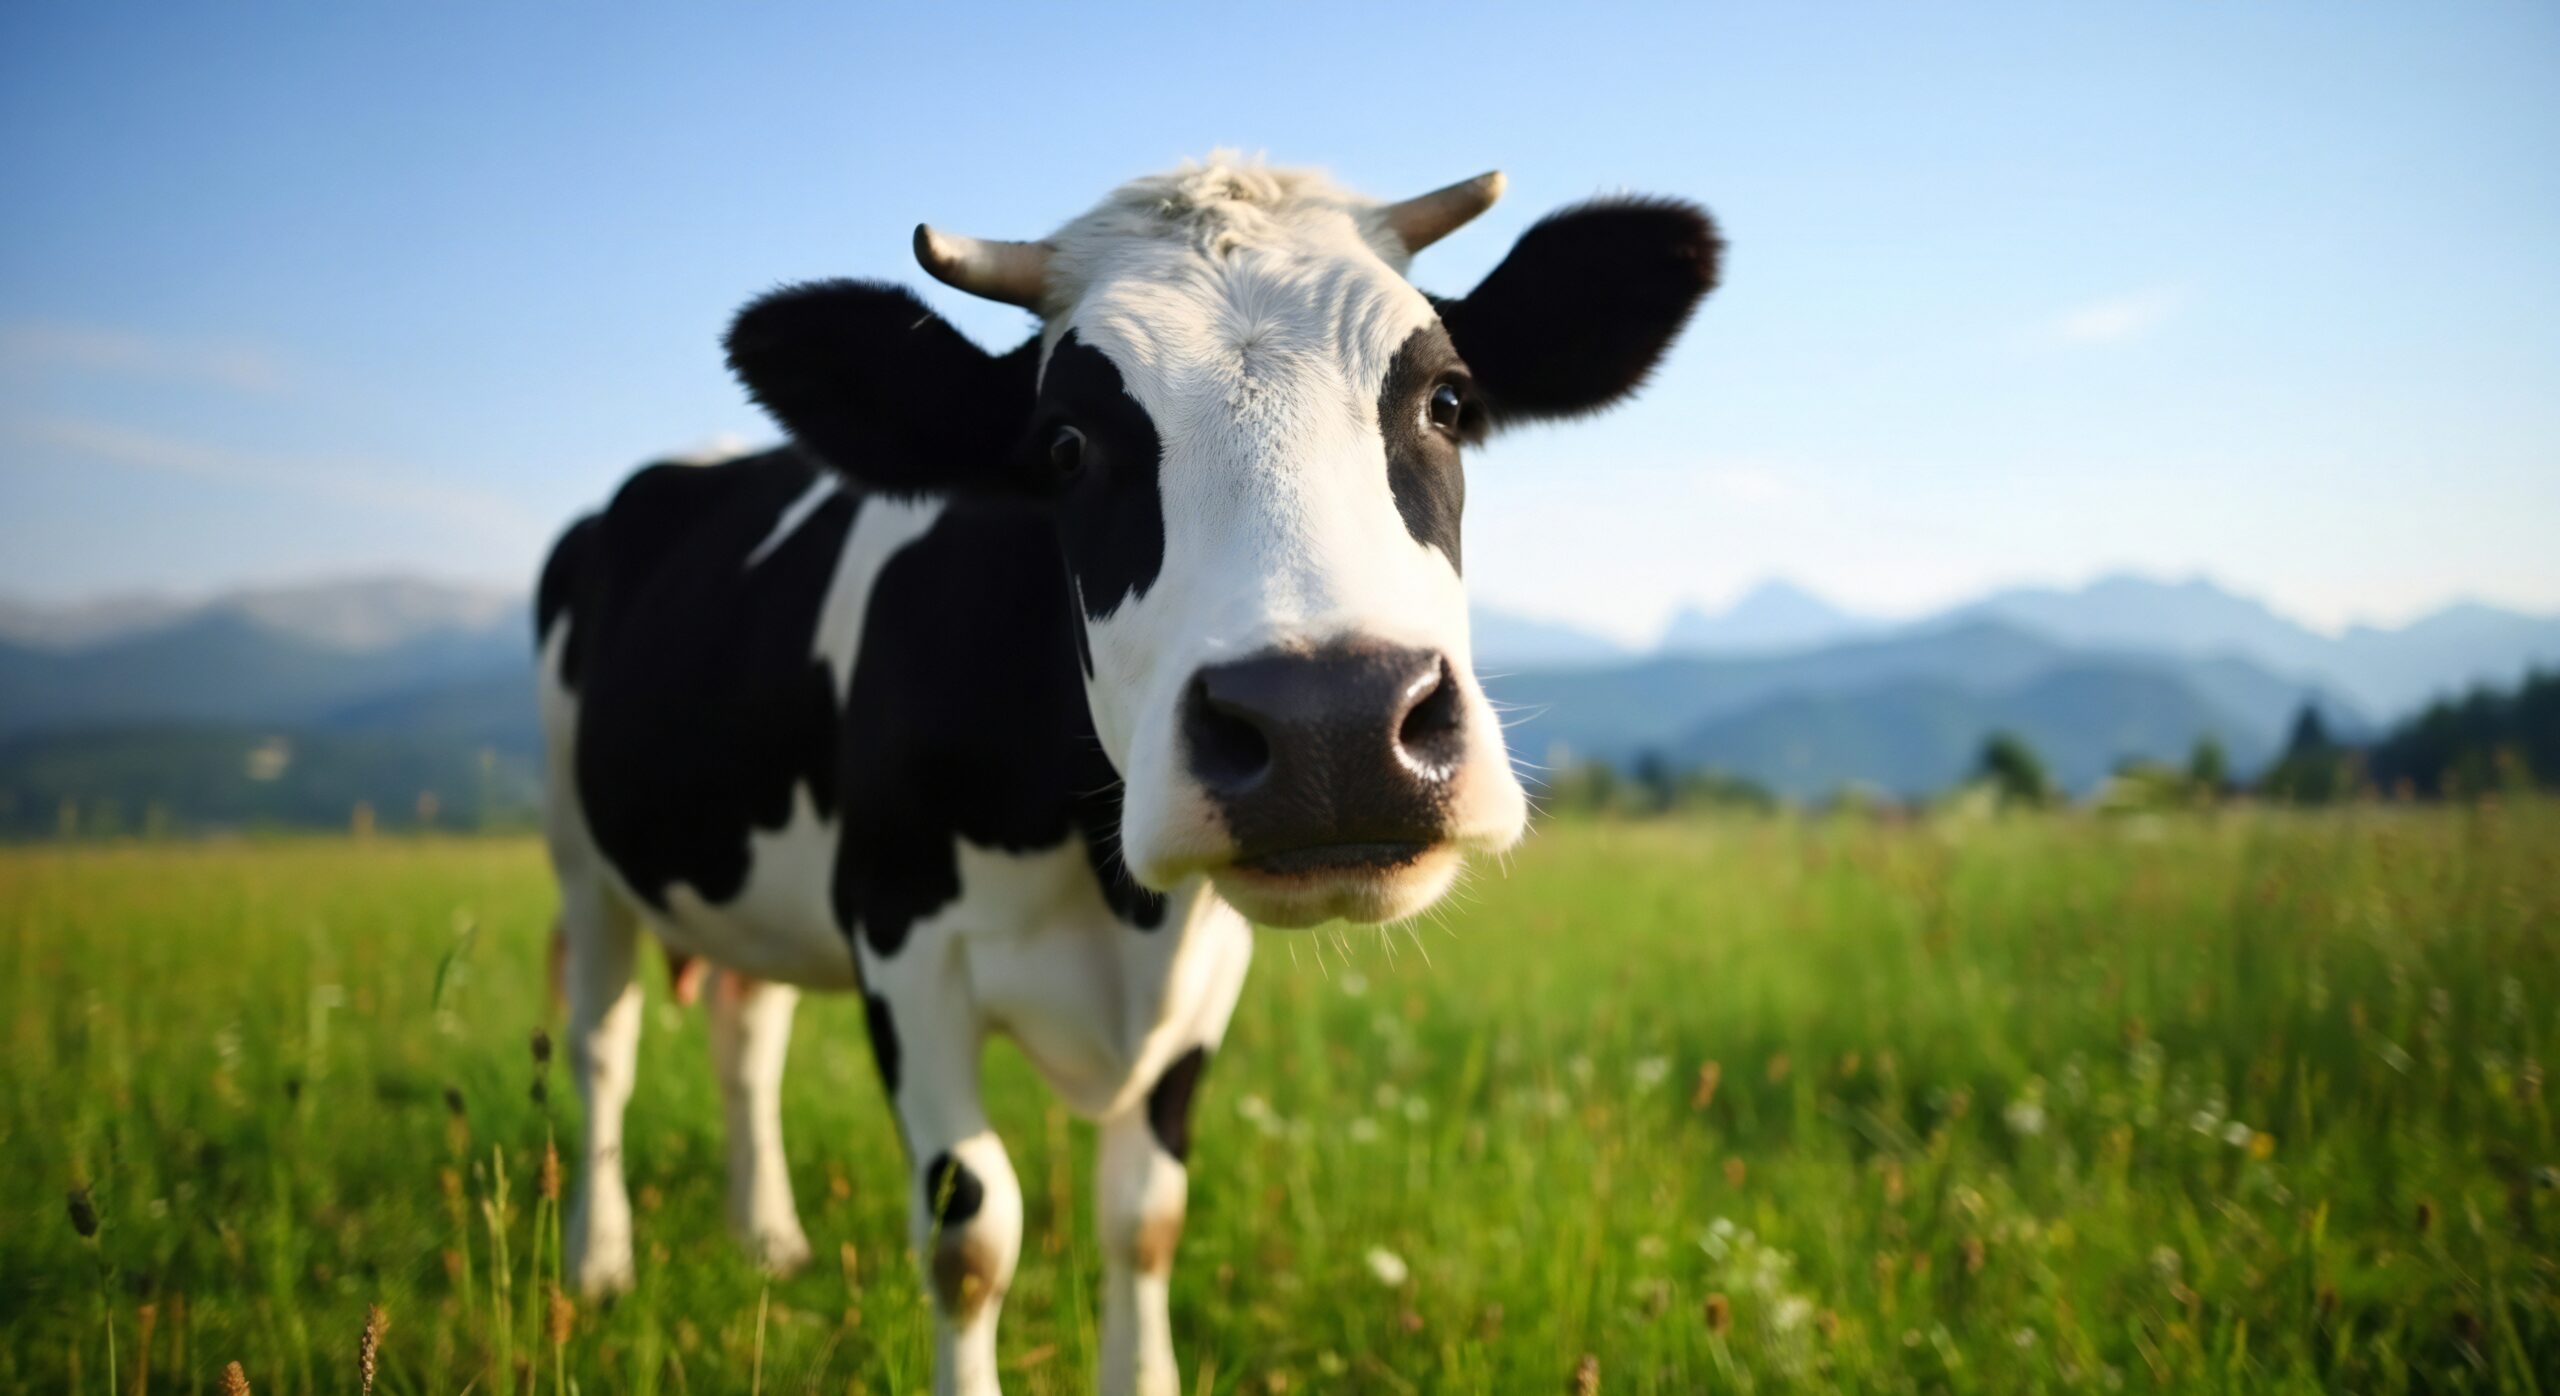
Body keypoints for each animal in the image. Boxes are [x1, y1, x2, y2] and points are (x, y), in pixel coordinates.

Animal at [536, 156, 1720, 1396]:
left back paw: (767, 1238)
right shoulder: (901, 935)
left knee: (746, 1033)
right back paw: (600, 1264)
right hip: (580, 853)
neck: (1113, 898)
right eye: (1063, 445)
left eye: (1446, 401)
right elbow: (970, 1229)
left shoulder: (1202, 964)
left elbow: (1144, 1213)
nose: (1333, 722)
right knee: (603, 1044)